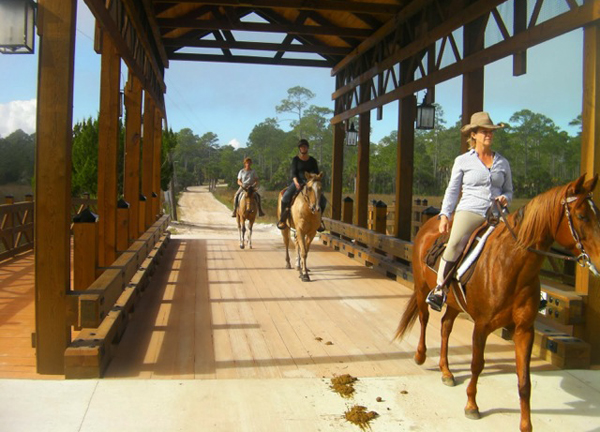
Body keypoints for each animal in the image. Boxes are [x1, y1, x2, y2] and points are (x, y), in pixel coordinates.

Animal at [394, 173, 600, 432]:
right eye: (582, 216)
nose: (598, 260)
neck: (511, 266)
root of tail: (429, 227)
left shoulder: (524, 330)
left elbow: (524, 380)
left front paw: (526, 424)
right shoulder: (482, 325)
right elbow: (477, 364)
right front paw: (472, 406)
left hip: (454, 303)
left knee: (445, 327)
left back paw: (446, 371)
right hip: (422, 289)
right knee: (424, 317)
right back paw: (421, 356)